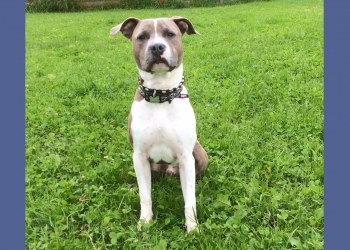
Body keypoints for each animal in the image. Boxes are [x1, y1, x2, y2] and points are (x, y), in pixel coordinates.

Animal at [110, 17, 208, 232]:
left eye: (170, 34)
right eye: (141, 37)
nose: (156, 47)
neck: (161, 95)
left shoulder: (185, 156)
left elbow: (189, 199)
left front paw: (193, 227)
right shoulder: (139, 156)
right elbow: (145, 195)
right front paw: (145, 221)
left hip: (199, 154)